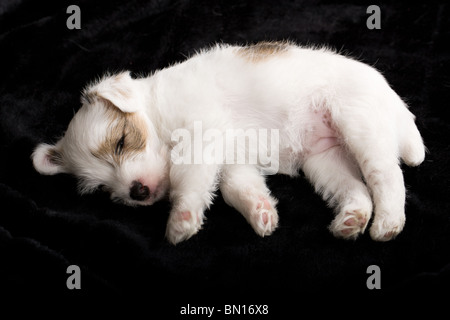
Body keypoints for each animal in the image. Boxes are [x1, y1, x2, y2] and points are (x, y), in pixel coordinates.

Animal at [31, 41, 426, 244]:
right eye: (100, 188)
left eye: (122, 142)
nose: (137, 192)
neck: (156, 112)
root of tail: (395, 100)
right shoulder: (233, 160)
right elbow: (239, 187)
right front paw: (261, 211)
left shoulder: (200, 135)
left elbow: (187, 178)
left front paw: (181, 218)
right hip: (326, 160)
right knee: (356, 189)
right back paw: (351, 218)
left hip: (359, 124)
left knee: (387, 176)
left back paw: (388, 222)